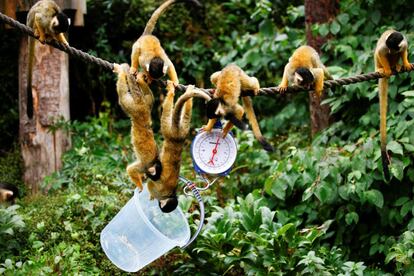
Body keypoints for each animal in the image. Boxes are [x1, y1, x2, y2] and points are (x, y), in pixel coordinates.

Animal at [114, 63, 161, 191]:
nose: (147, 176)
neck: (155, 162)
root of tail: (142, 105)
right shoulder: (145, 166)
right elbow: (131, 170)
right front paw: (140, 187)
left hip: (145, 105)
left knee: (149, 97)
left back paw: (140, 80)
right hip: (134, 108)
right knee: (123, 94)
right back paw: (122, 73)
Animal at [148, 82, 195, 213]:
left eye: (162, 208)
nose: (160, 207)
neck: (171, 194)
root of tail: (177, 135)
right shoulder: (160, 191)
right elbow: (151, 185)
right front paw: (151, 195)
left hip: (183, 130)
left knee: (186, 116)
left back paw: (188, 96)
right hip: (169, 131)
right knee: (166, 113)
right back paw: (171, 93)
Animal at [374, 30, 412, 181]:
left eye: (393, 47)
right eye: (389, 47)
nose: (390, 50)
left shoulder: (403, 43)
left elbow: (403, 50)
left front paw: (405, 62)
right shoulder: (385, 46)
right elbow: (380, 52)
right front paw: (386, 69)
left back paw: (396, 66)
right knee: (379, 54)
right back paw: (382, 68)